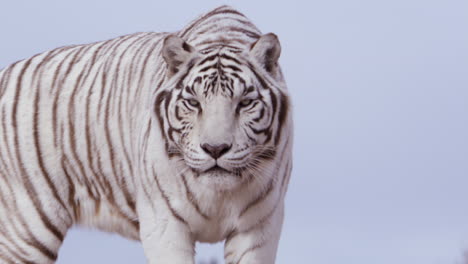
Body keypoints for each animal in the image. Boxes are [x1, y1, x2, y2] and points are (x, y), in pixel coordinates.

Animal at [0, 4, 292, 264]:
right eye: (193, 103)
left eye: (245, 103)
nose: (215, 149)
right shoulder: (165, 225)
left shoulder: (259, 228)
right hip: (27, 229)